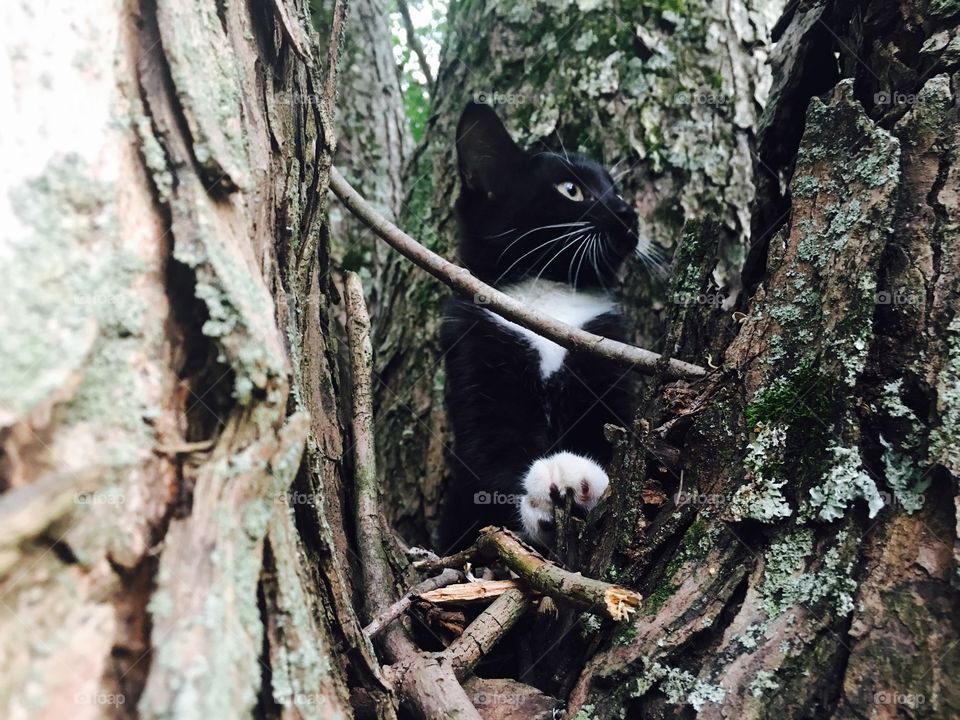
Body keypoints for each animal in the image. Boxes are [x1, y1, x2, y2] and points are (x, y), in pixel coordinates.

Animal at [438, 101, 640, 552]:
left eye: (617, 190)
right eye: (571, 190)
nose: (629, 214)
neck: (548, 295)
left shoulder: (605, 344)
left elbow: (613, 429)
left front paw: (586, 480)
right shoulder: (473, 342)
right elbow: (486, 451)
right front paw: (537, 502)